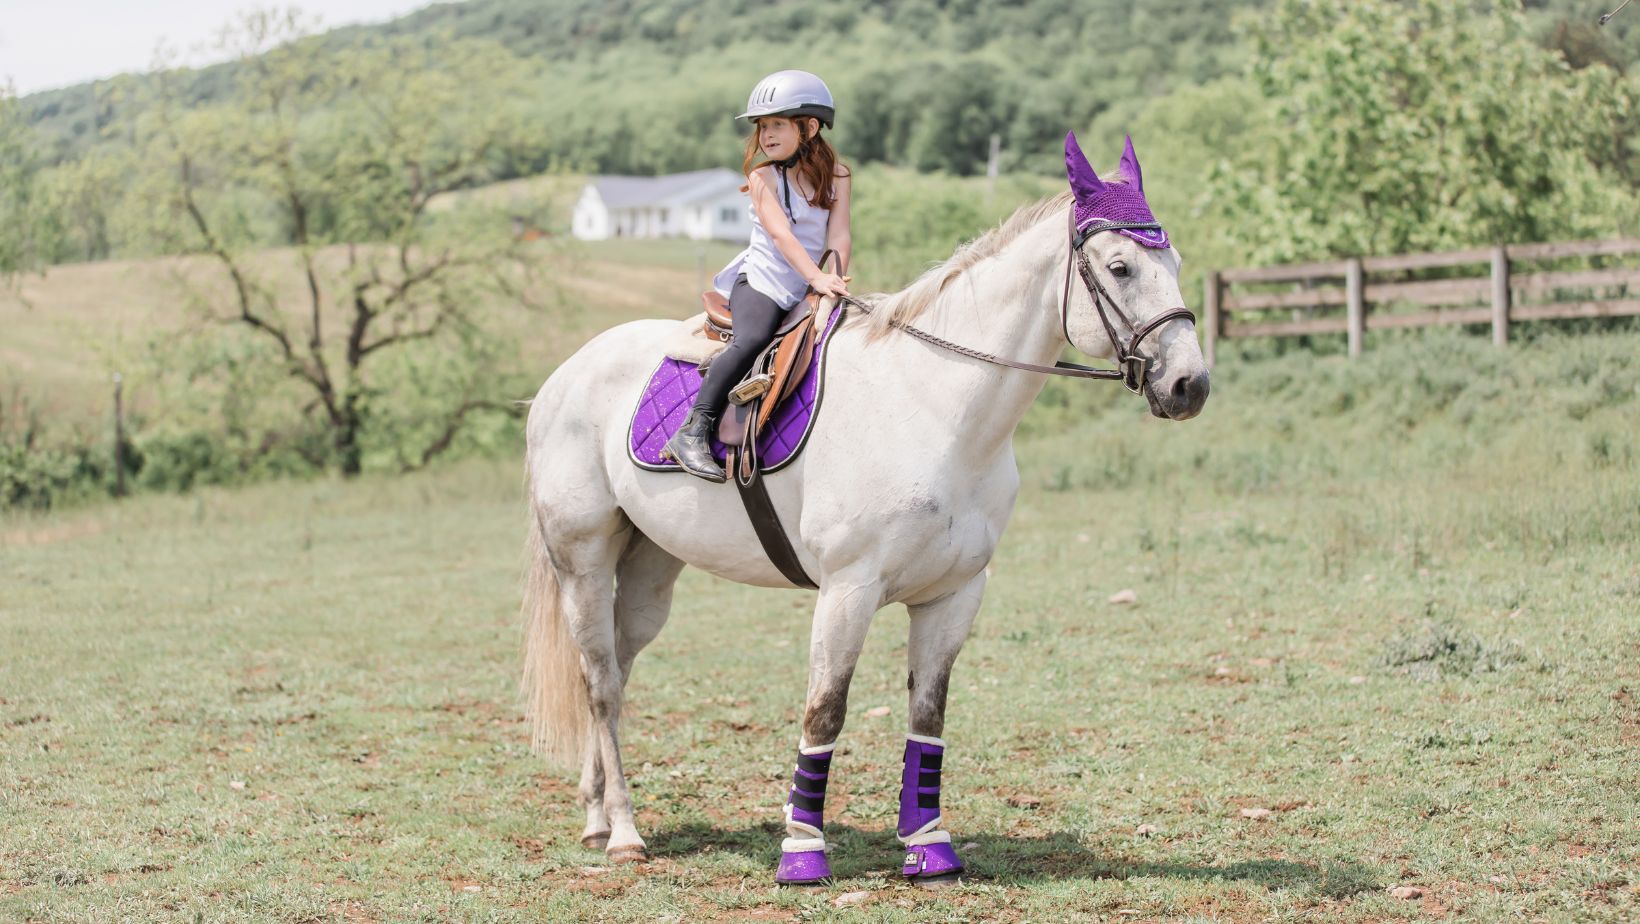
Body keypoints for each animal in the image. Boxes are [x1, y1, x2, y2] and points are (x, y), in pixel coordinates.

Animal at [518, 135, 1213, 879]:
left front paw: (929, 845)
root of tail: (564, 375)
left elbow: (928, 717)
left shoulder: (954, 594)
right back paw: (622, 830)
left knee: (617, 669)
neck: (934, 403)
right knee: (599, 681)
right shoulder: (847, 590)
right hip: (583, 560)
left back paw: (595, 814)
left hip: (651, 566)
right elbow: (824, 713)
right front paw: (802, 853)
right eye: (1120, 266)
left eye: (1174, 262)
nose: (1189, 385)